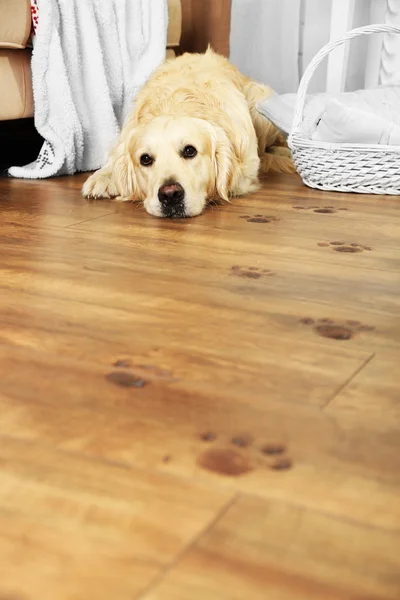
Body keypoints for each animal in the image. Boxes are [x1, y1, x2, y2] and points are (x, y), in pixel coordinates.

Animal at [82, 48, 294, 218]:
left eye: (190, 151)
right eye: (145, 159)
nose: (170, 194)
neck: (175, 103)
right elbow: (114, 159)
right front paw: (102, 177)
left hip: (261, 101)